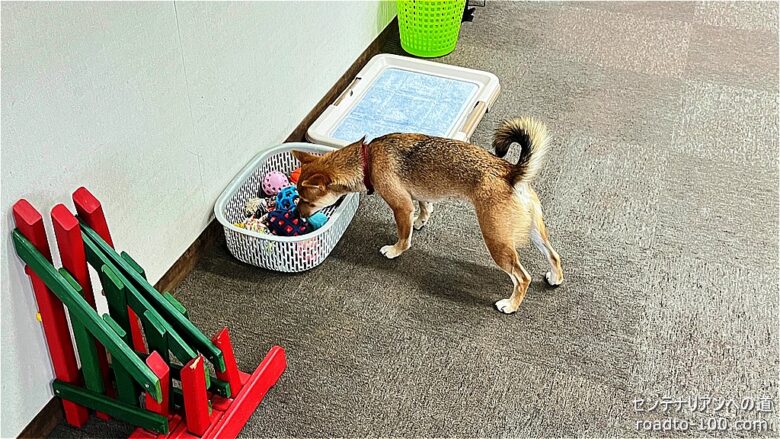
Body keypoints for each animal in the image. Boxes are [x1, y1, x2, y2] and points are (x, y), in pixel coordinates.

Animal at [293, 117, 563, 314]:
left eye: (307, 201)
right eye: (297, 197)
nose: (297, 214)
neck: (367, 159)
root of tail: (511, 172)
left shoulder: (400, 206)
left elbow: (403, 236)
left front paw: (395, 250)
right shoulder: (417, 195)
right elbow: (424, 208)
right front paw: (420, 222)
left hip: (497, 240)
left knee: (522, 277)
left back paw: (510, 305)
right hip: (535, 231)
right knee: (554, 255)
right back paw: (554, 277)